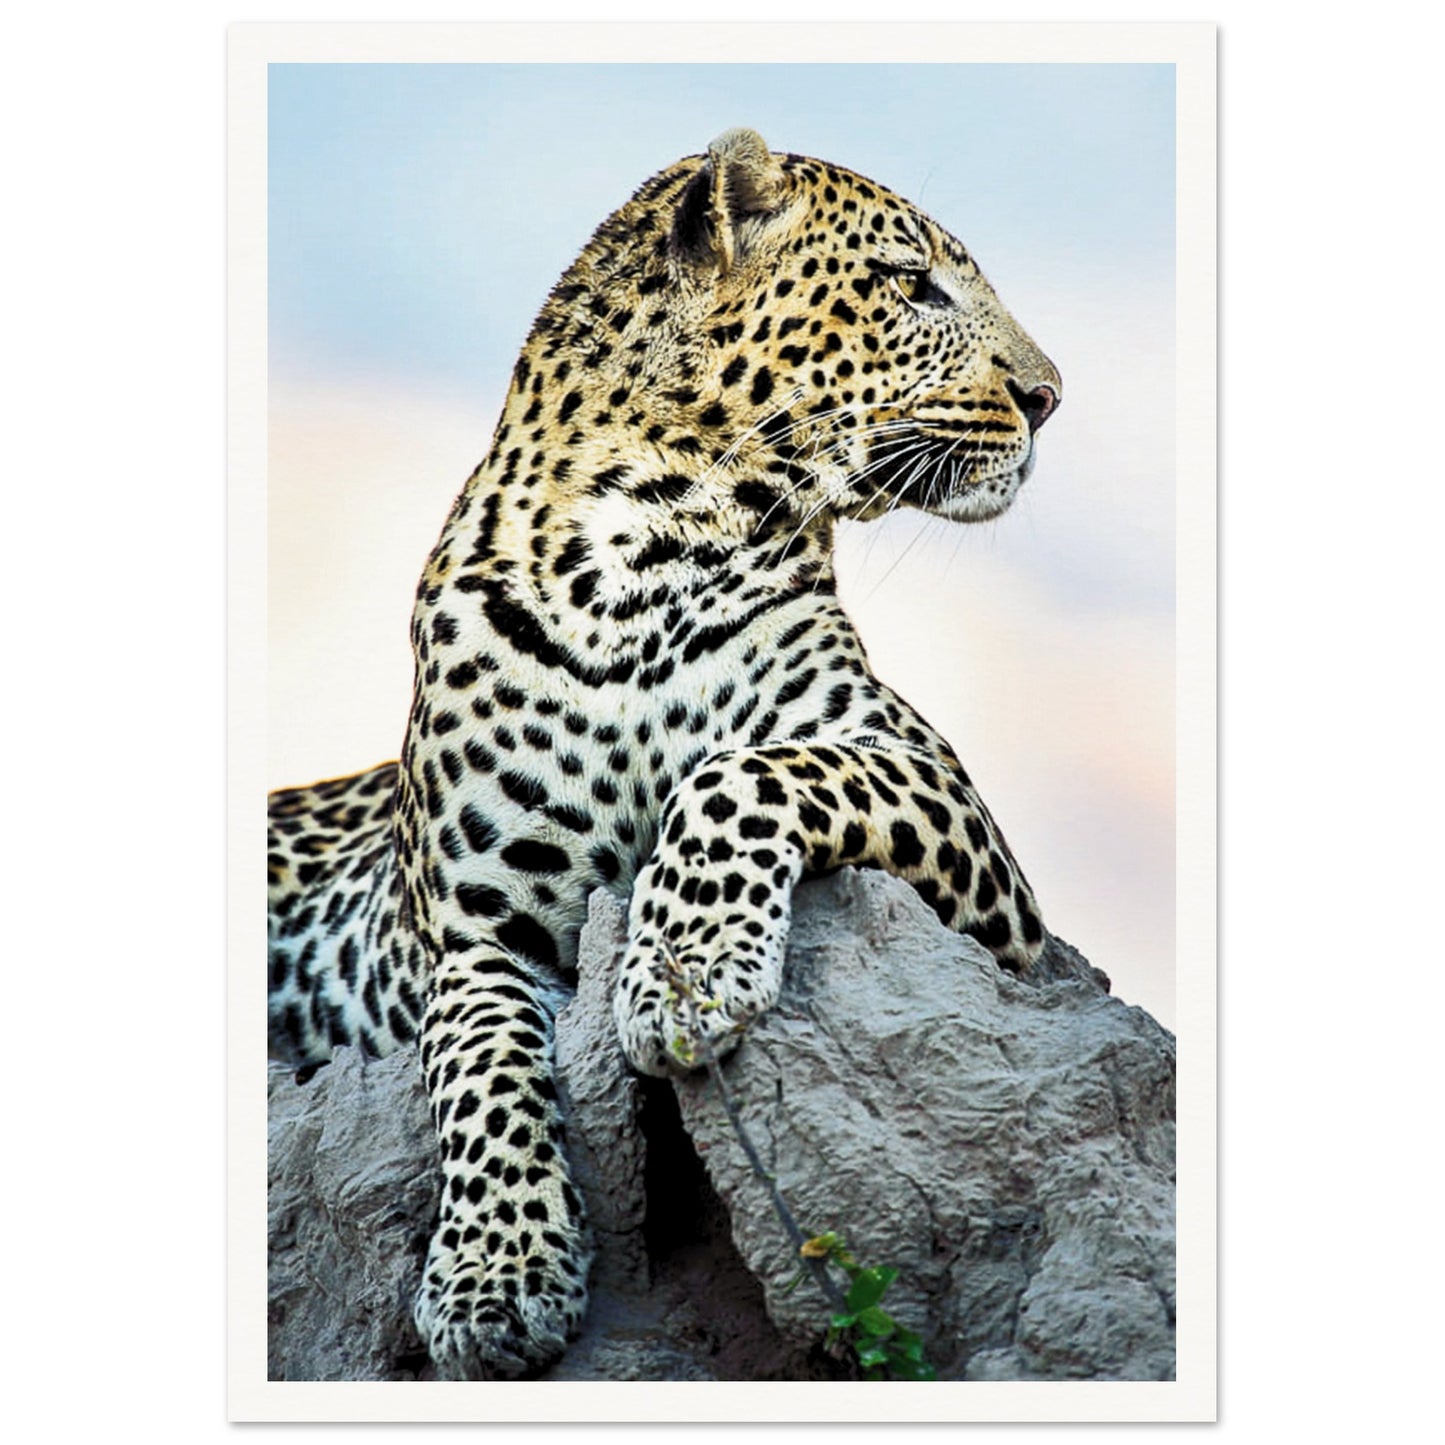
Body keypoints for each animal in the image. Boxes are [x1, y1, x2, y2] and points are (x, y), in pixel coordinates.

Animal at [267, 127, 1061, 1381]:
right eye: (912, 284)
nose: (1050, 397)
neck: (634, 555)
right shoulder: (471, 933)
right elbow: (480, 1066)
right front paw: (495, 1279)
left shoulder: (950, 817)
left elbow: (739, 772)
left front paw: (682, 977)